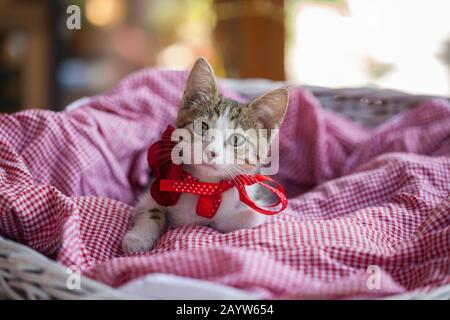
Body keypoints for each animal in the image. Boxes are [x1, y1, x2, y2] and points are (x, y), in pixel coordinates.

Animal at [121, 57, 288, 252]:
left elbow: (244, 219)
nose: (211, 152)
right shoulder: (155, 186)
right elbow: (150, 207)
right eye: (202, 127)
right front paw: (138, 237)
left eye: (236, 140)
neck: (203, 187)